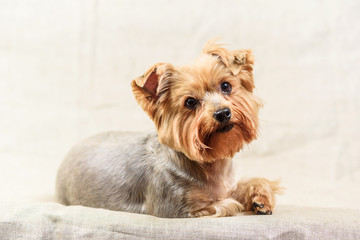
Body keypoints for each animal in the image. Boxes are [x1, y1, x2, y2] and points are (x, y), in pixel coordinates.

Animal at [55, 40, 282, 218]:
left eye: (226, 86)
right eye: (190, 102)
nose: (222, 113)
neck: (210, 165)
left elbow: (251, 183)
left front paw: (260, 199)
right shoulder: (177, 206)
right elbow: (225, 205)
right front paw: (238, 203)